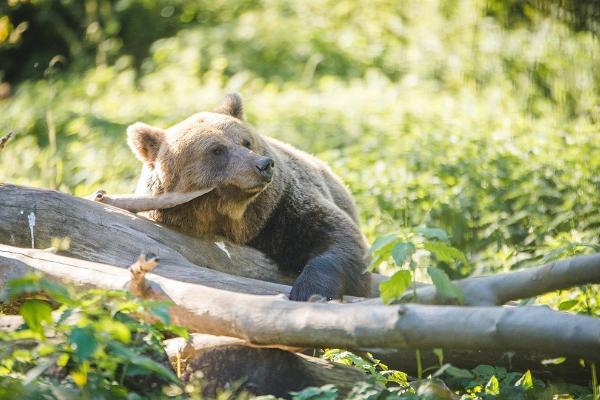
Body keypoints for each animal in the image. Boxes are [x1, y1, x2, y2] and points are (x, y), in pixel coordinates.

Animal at [127, 94, 370, 300]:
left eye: (246, 141)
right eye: (217, 150)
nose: (263, 165)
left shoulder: (283, 212)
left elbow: (339, 237)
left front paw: (309, 291)